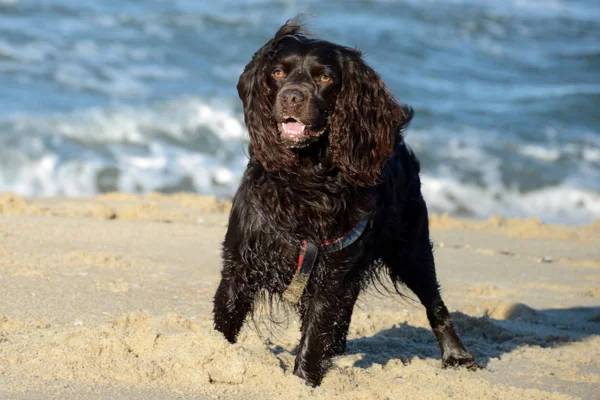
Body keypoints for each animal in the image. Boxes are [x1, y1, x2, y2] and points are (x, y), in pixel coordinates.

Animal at [211, 19, 478, 388]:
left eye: (325, 78)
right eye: (278, 72)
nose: (292, 96)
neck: (305, 180)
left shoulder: (332, 276)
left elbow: (315, 334)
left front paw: (304, 382)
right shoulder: (241, 262)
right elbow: (226, 321)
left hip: (411, 248)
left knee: (435, 302)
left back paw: (457, 355)